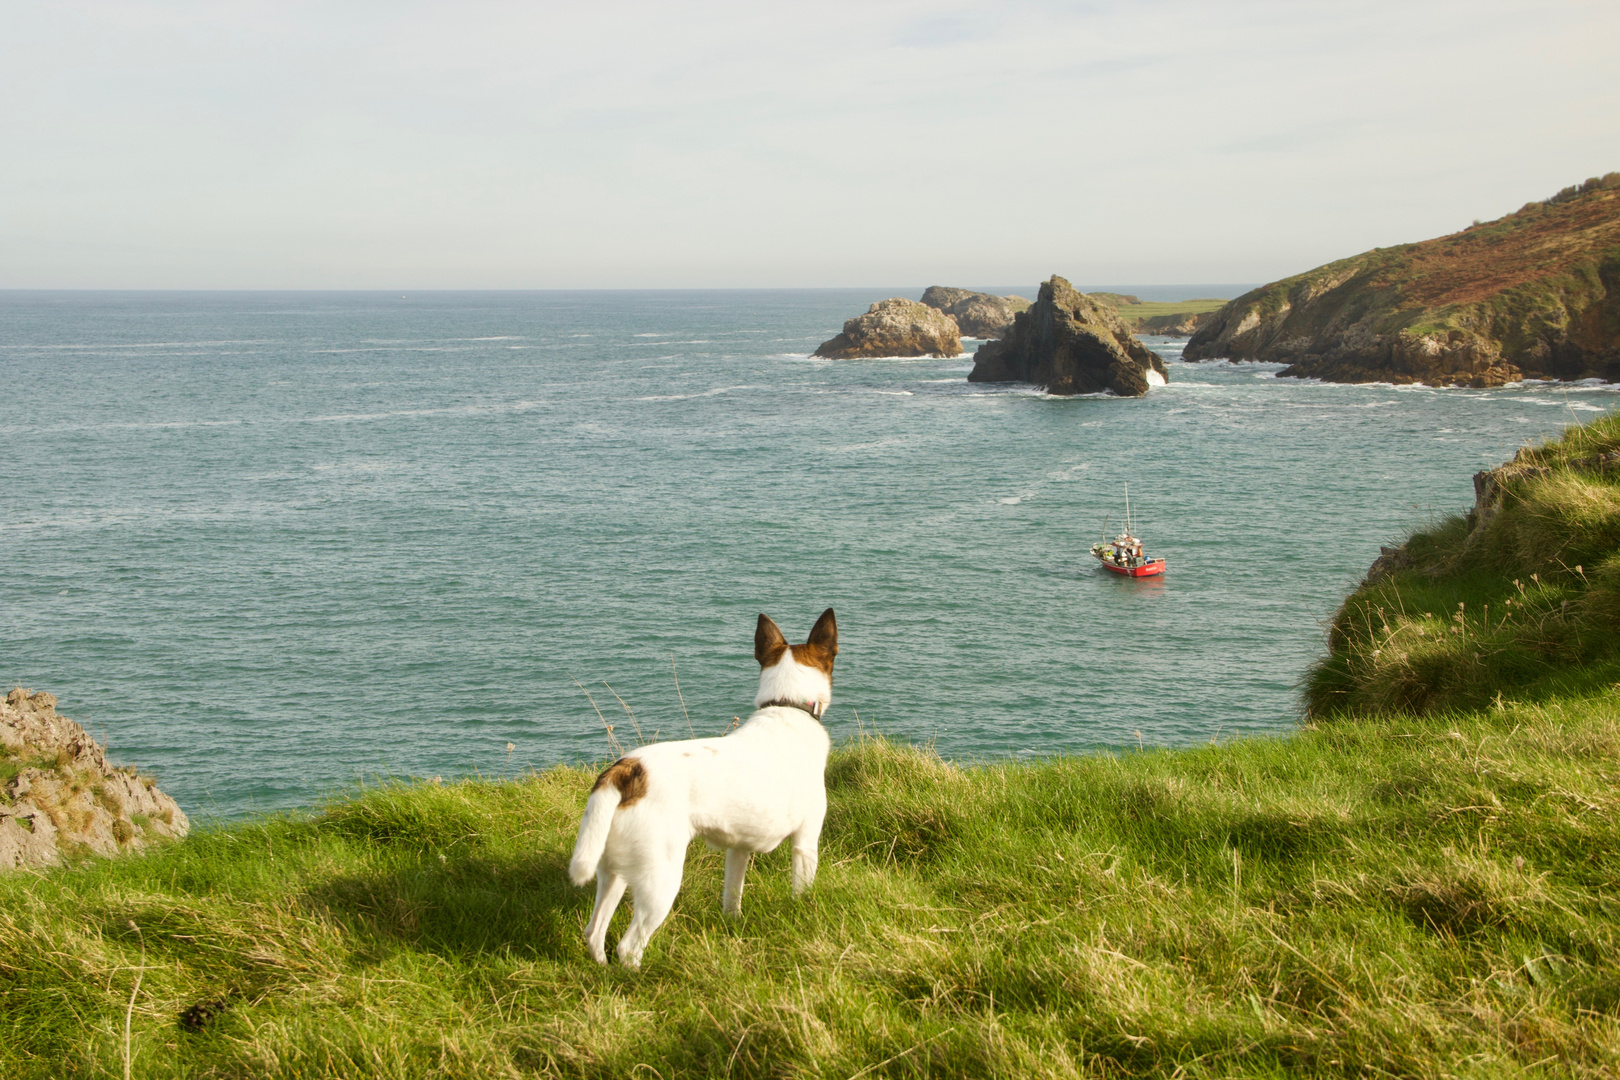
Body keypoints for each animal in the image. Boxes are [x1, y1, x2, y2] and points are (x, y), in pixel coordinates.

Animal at [567, 608, 835, 971]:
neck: (786, 706)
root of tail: (625, 771)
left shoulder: (738, 850)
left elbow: (732, 895)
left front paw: (733, 924)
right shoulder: (806, 843)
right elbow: (802, 890)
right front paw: (803, 913)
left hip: (614, 872)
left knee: (594, 932)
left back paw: (602, 969)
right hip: (661, 879)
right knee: (629, 945)